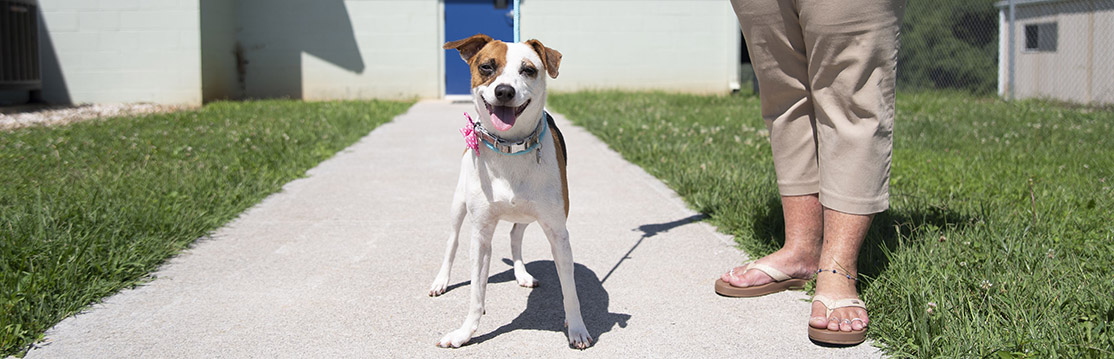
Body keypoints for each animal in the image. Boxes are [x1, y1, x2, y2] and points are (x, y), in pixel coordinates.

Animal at [427, 32, 592, 347]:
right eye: (487, 67)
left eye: (528, 70)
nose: (503, 91)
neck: (511, 147)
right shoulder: (480, 235)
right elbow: (476, 293)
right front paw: (465, 332)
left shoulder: (558, 232)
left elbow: (570, 290)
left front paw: (577, 328)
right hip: (458, 204)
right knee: (452, 242)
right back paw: (441, 280)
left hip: (528, 216)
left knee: (516, 236)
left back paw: (522, 273)